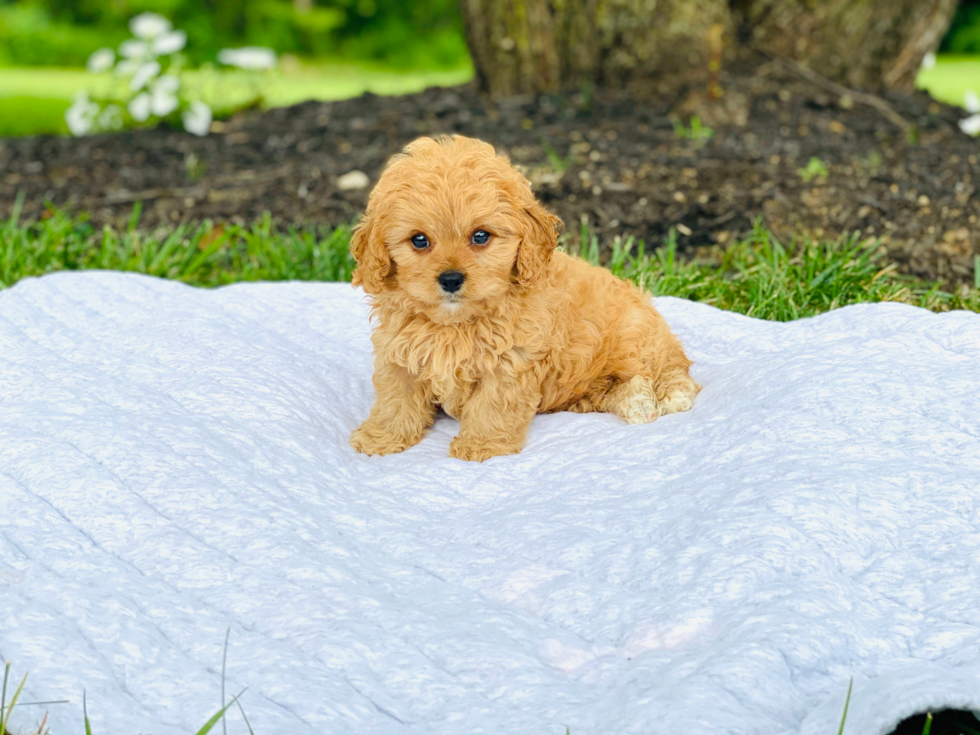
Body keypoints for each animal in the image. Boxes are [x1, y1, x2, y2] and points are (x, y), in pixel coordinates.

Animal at [348, 135, 700, 462]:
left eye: (480, 236)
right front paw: (381, 438)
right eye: (419, 240)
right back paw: (637, 402)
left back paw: (667, 398)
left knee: (673, 370)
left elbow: (492, 406)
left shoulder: (510, 362)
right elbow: (396, 399)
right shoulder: (398, 353)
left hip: (636, 336)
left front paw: (481, 446)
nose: (450, 279)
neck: (454, 324)